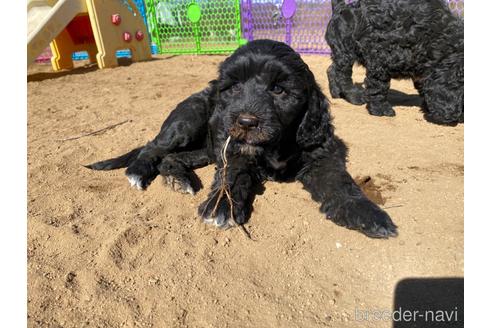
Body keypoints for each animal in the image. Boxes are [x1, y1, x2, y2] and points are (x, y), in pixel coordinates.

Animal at [86, 39, 398, 238]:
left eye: (278, 89)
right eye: (234, 87)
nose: (246, 122)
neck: (275, 144)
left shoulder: (320, 153)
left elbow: (340, 182)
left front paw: (368, 214)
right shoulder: (233, 150)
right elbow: (231, 177)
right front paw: (220, 207)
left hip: (206, 149)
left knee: (174, 157)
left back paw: (178, 178)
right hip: (189, 121)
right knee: (154, 147)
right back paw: (138, 172)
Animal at [324, 0, 464, 124]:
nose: (460, 118)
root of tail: (340, 8)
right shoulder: (381, 57)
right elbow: (378, 86)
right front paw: (380, 110)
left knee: (332, 69)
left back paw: (336, 93)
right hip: (345, 48)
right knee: (343, 74)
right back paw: (354, 96)